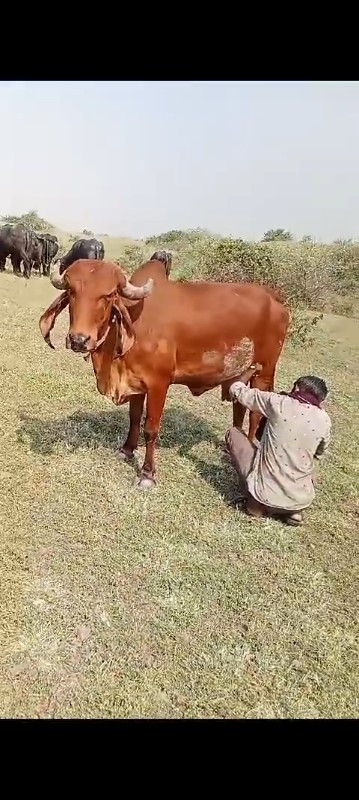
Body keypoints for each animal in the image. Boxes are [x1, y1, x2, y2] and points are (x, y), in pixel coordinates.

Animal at [39, 258, 292, 488]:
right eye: (72, 291)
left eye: (109, 295)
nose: (79, 340)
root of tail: (276, 300)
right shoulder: (136, 383)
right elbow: (134, 418)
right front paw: (127, 449)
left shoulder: (158, 384)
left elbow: (151, 429)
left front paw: (147, 474)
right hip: (239, 372)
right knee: (239, 406)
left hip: (263, 372)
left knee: (256, 413)